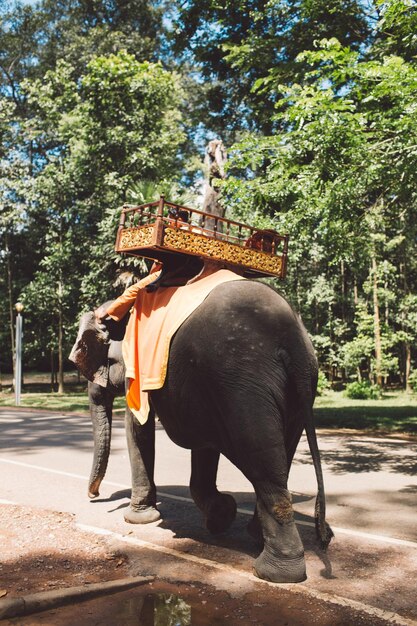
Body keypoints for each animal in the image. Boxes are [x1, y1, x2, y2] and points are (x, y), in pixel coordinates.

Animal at [70, 278, 332, 580]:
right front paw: (221, 515)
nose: (94, 496)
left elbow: (138, 427)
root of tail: (292, 338)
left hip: (244, 388)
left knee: (263, 464)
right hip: (293, 390)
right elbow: (204, 445)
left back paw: (274, 571)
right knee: (280, 457)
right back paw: (256, 536)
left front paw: (138, 518)